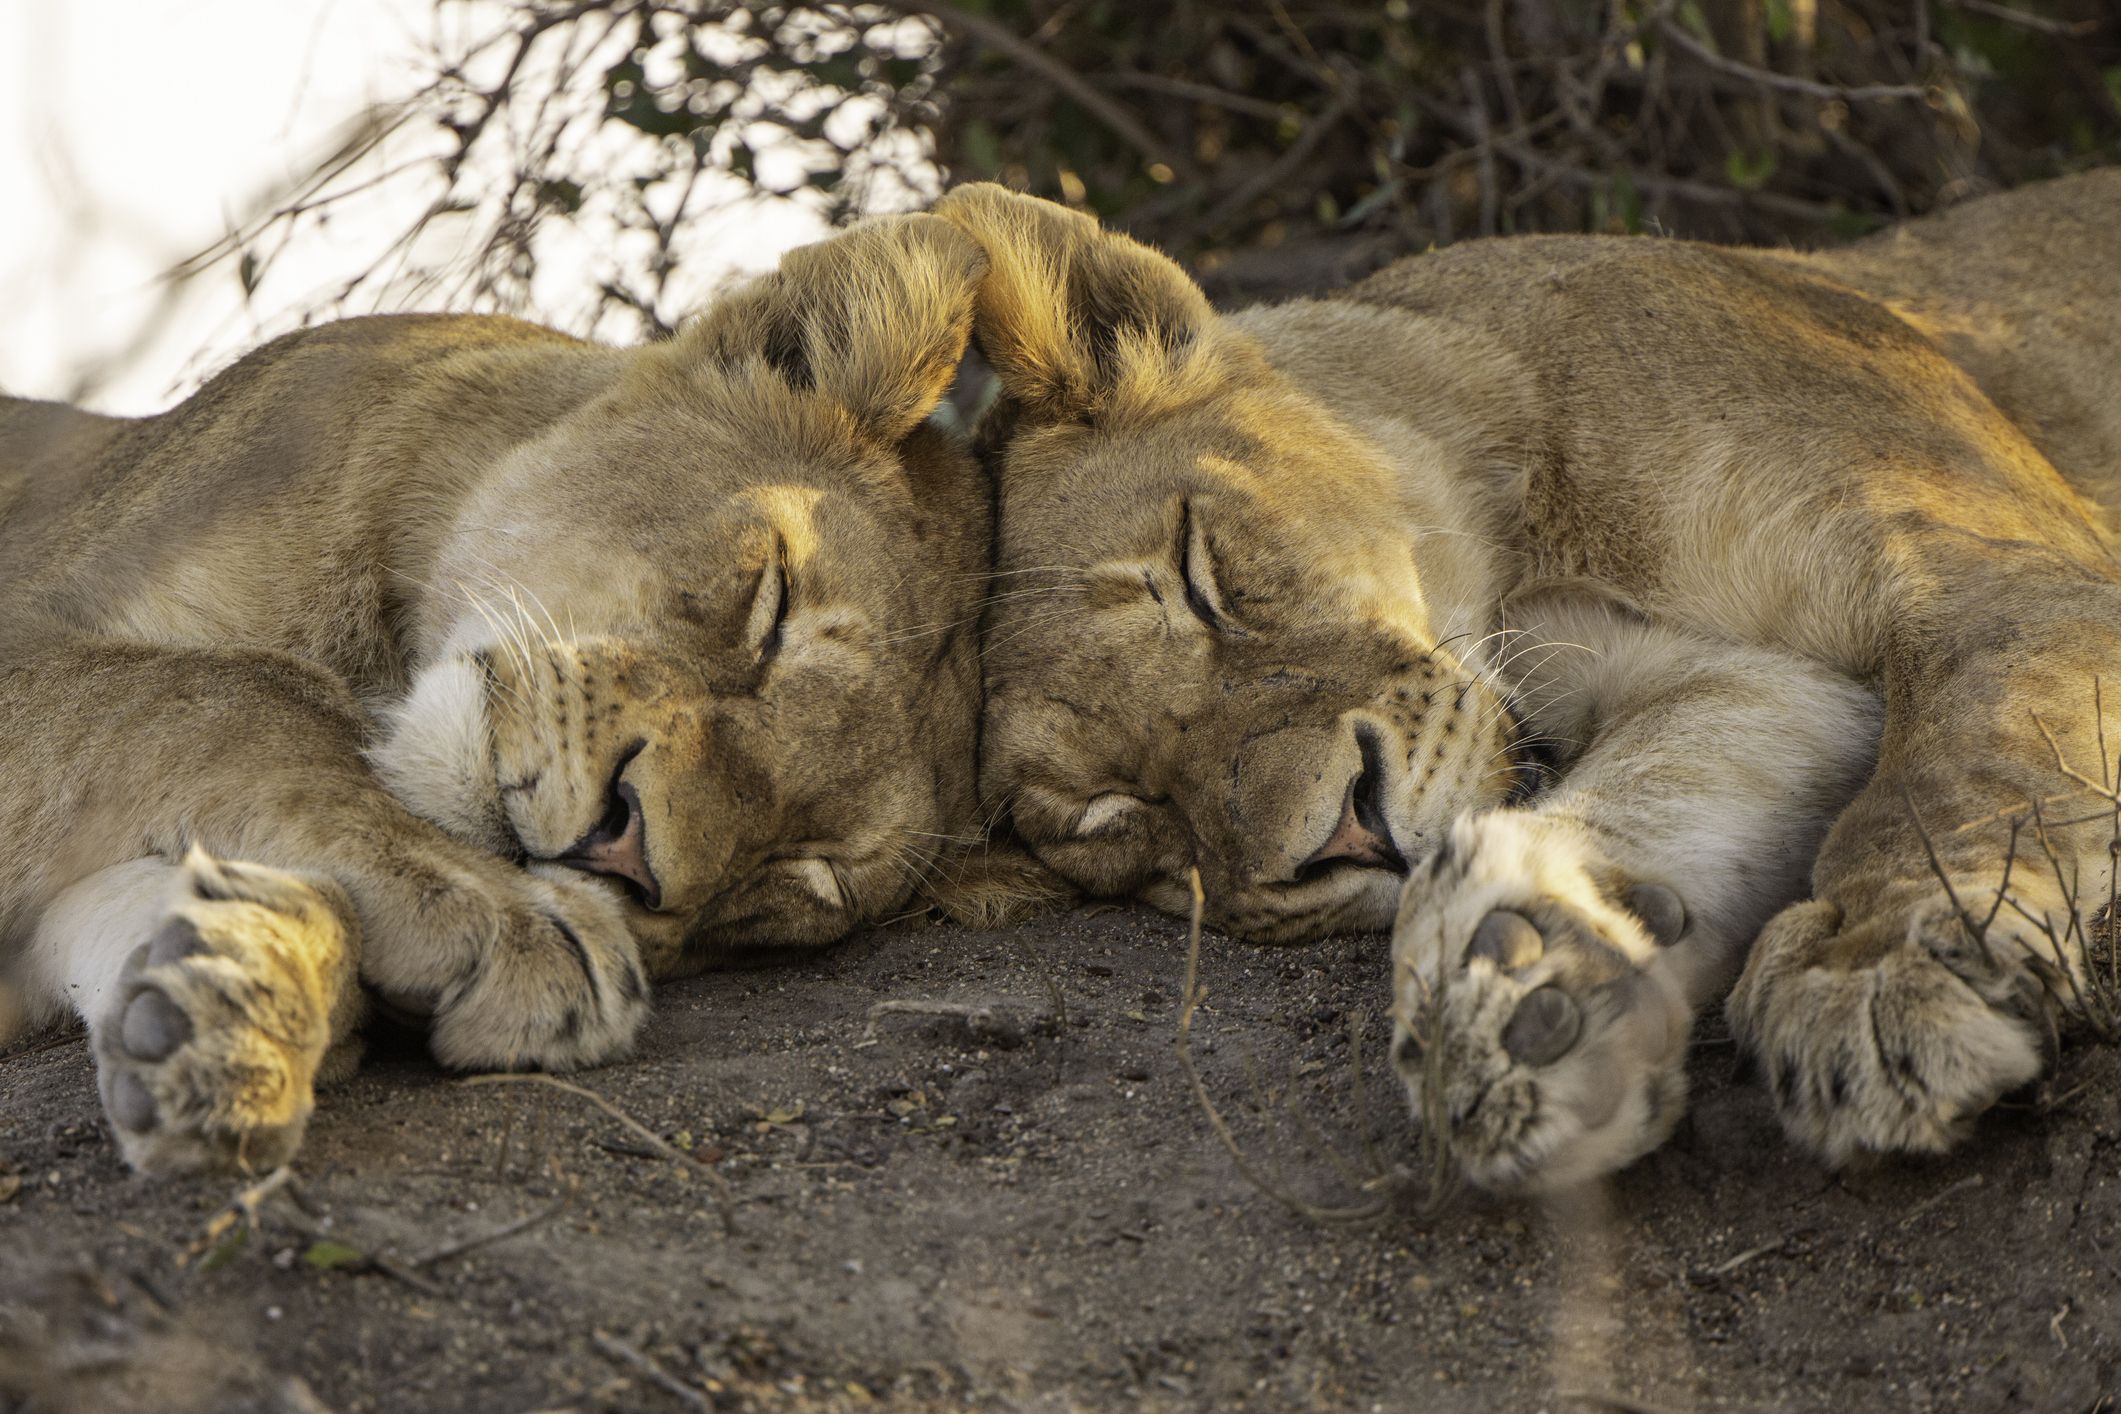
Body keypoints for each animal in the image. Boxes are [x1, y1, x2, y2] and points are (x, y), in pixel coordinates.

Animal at [0, 216, 992, 1178]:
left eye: (805, 876)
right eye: (773, 607)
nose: (625, 848)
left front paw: (227, 1001)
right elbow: (235, 694)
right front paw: (494, 911)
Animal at [941, 173, 2121, 1195]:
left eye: (1198, 579)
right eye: (1113, 819)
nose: (1347, 832)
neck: (1524, 543)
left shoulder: (2004, 571)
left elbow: (1955, 769)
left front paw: (1876, 974)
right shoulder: (1766, 684)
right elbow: (1664, 785)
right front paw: (1523, 998)